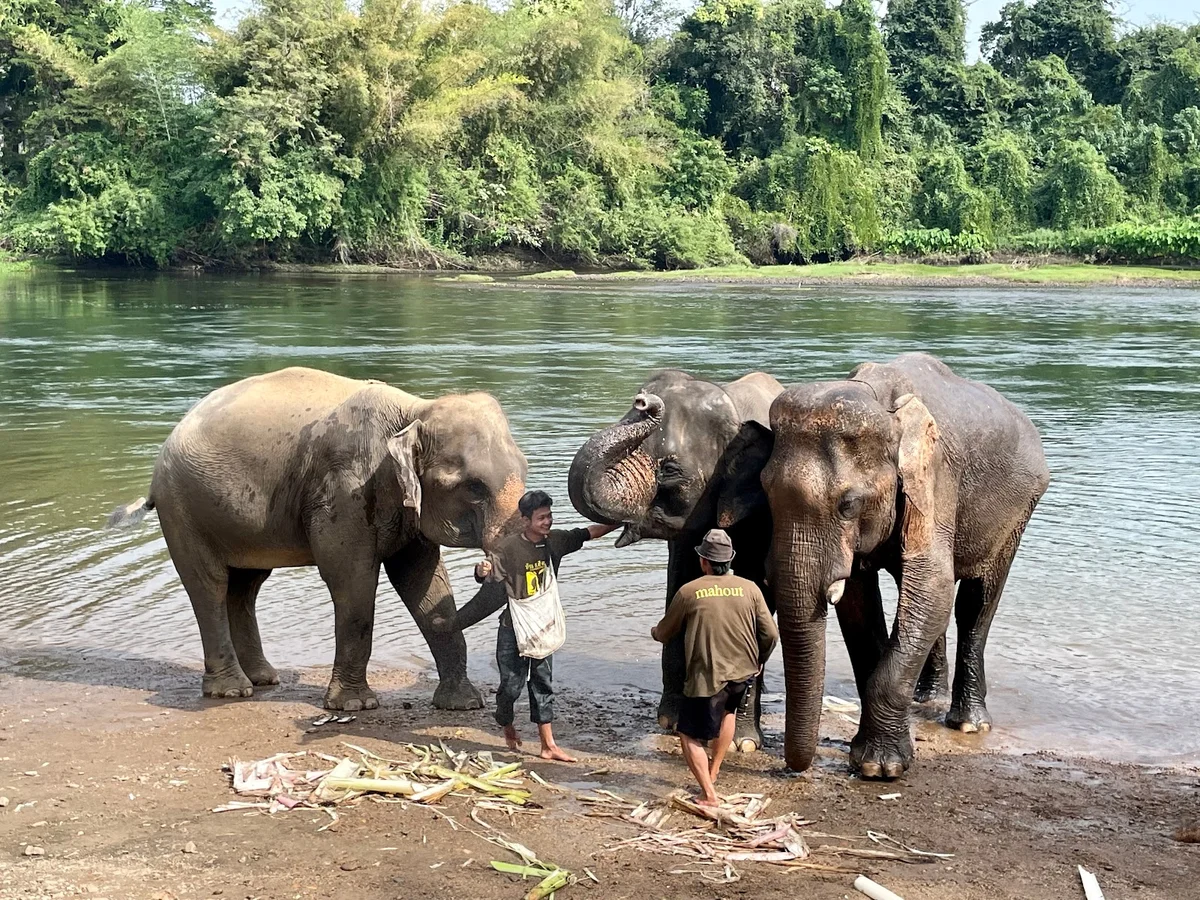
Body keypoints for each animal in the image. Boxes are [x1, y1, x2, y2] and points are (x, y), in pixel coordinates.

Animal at [108, 366, 527, 711]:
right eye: (473, 487)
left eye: (524, 469)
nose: (481, 568)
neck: (413, 410)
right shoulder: (344, 490)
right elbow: (352, 580)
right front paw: (354, 706)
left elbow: (422, 579)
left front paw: (462, 704)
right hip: (183, 510)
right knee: (209, 585)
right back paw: (232, 691)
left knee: (245, 587)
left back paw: (264, 678)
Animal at [749, 352, 1049, 778]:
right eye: (766, 494)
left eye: (848, 505)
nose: (794, 768)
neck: (881, 404)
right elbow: (861, 603)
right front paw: (873, 756)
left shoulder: (937, 476)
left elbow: (932, 584)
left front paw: (880, 768)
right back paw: (926, 701)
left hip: (1020, 508)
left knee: (974, 603)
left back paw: (969, 724)